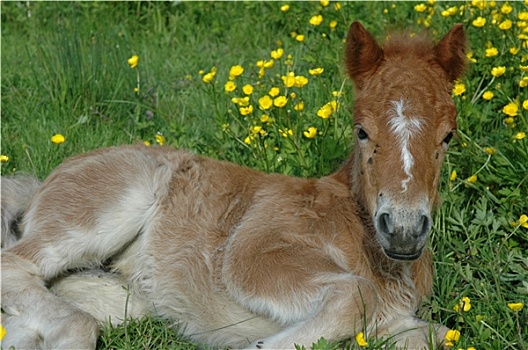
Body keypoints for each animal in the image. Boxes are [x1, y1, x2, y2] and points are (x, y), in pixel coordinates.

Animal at [2, 21, 466, 348]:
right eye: (362, 131)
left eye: (448, 136)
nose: (404, 230)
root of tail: (41, 185)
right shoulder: (254, 254)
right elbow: (355, 295)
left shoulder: (396, 323)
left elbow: (439, 336)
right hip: (105, 208)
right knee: (18, 266)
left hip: (118, 298)